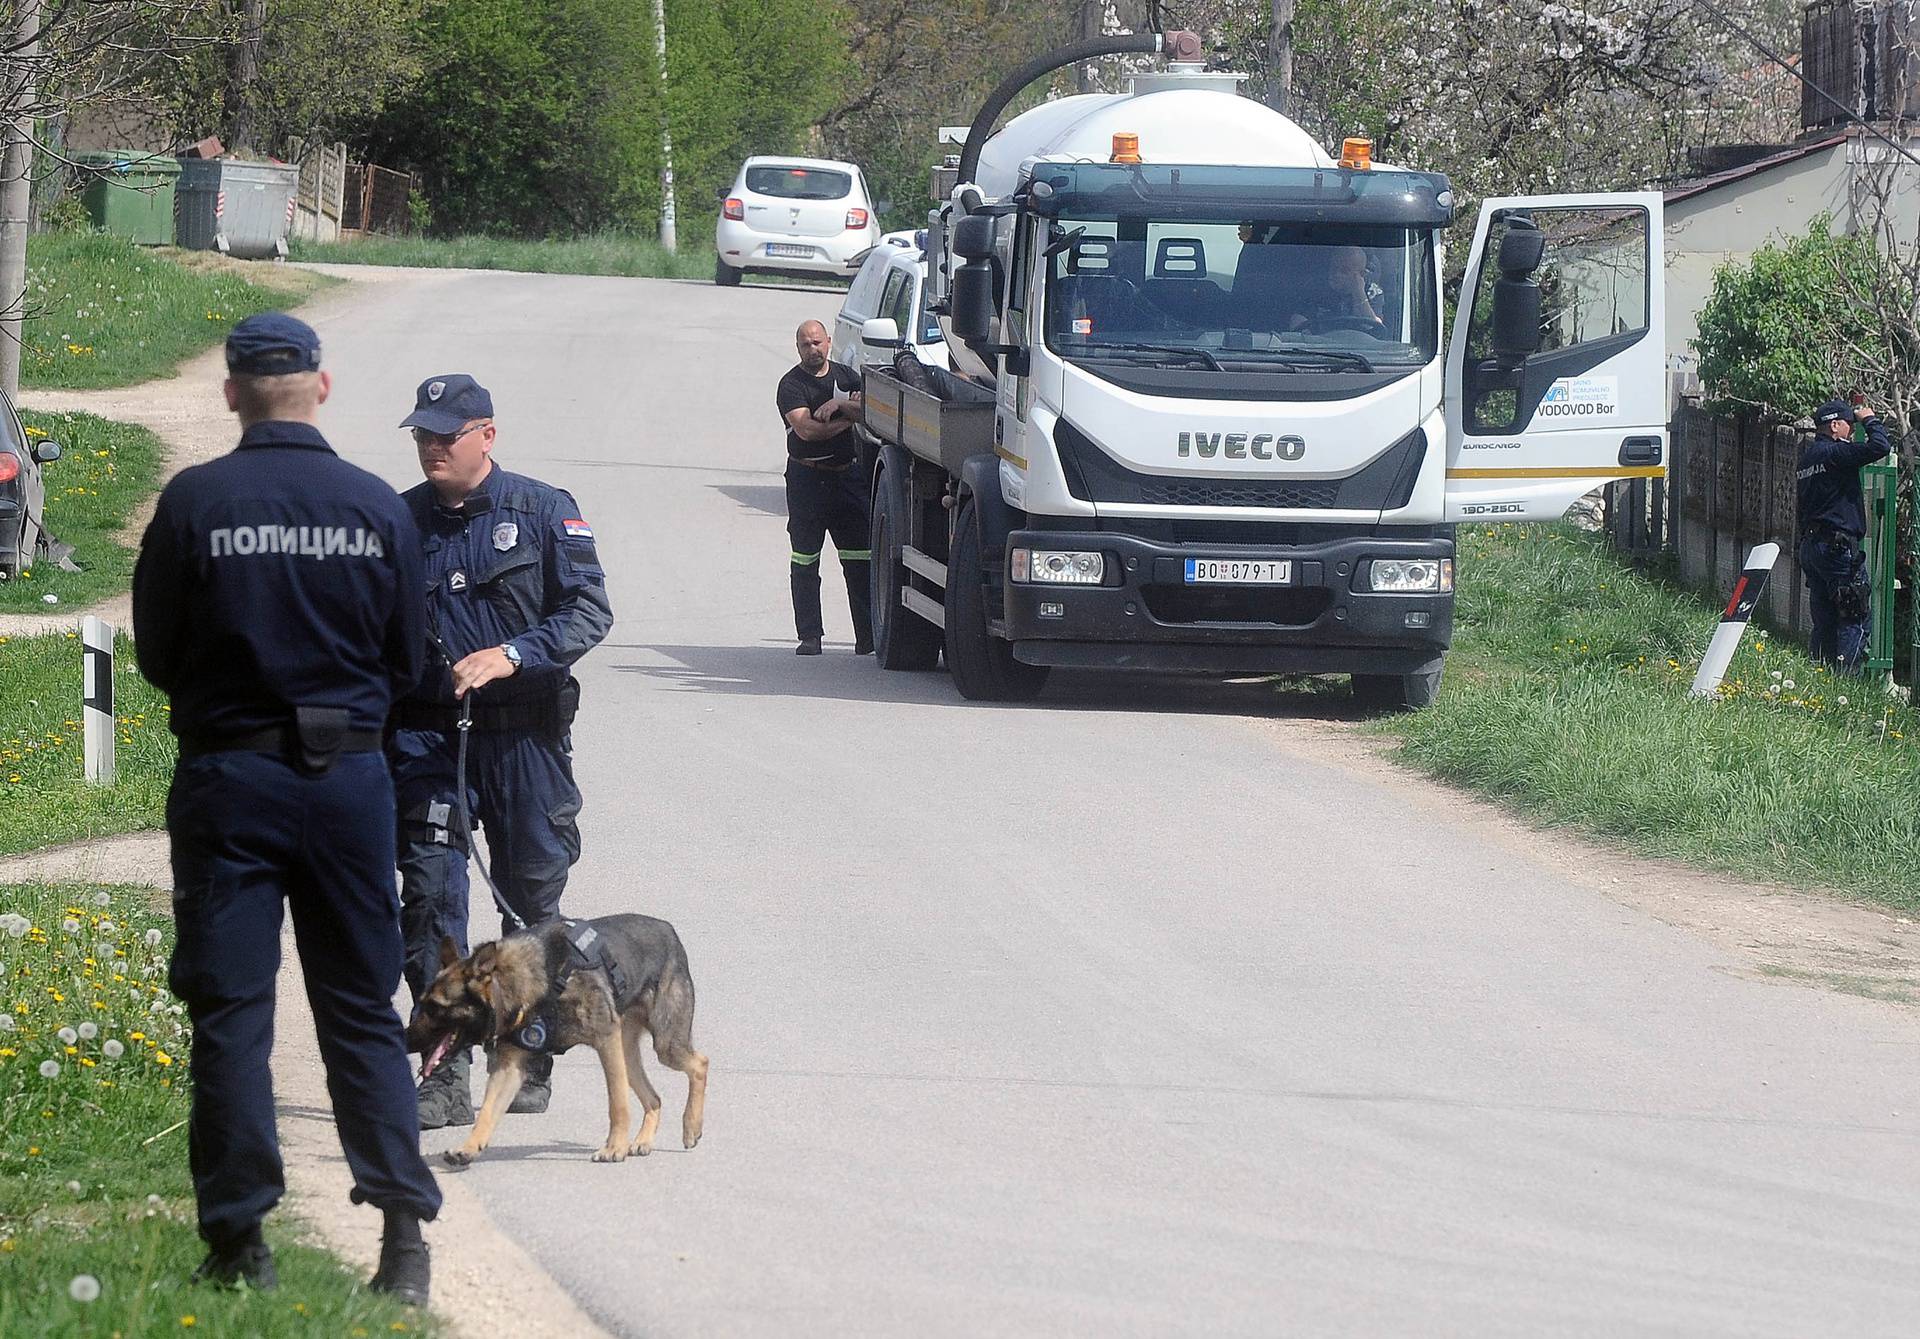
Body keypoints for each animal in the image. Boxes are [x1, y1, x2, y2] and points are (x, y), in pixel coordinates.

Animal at [407, 914, 714, 1168]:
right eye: (422, 1002)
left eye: (435, 1008)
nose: (406, 1039)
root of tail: (669, 930)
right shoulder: (508, 1068)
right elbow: (488, 1112)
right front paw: (468, 1148)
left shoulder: (606, 1041)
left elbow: (617, 1103)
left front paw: (614, 1148)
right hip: (628, 1054)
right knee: (654, 1098)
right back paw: (643, 1140)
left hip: (664, 1044)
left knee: (700, 1063)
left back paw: (691, 1126)